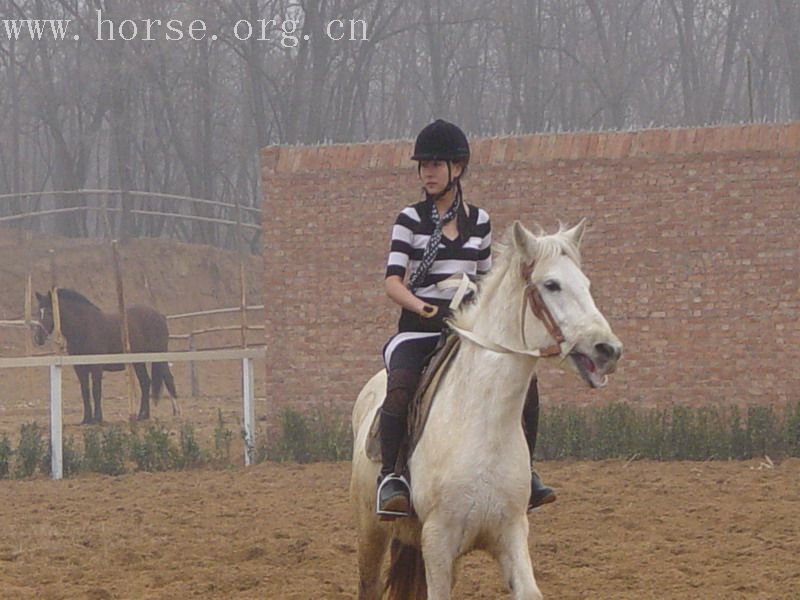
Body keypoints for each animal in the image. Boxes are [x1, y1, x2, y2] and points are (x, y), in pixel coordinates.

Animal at [34, 288, 177, 424]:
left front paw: (97, 418)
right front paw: (86, 419)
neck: (84, 327)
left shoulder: (96, 367)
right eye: (37, 312)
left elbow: (96, 390)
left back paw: (176, 413)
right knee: (145, 382)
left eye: (49, 312)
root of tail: (160, 316)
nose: (38, 338)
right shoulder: (80, 368)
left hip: (159, 357)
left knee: (168, 379)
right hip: (139, 362)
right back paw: (143, 415)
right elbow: (85, 391)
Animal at [352, 220, 624, 600]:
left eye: (585, 284)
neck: (482, 426)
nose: (608, 349)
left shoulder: (510, 533)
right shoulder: (437, 540)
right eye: (551, 285)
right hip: (372, 531)